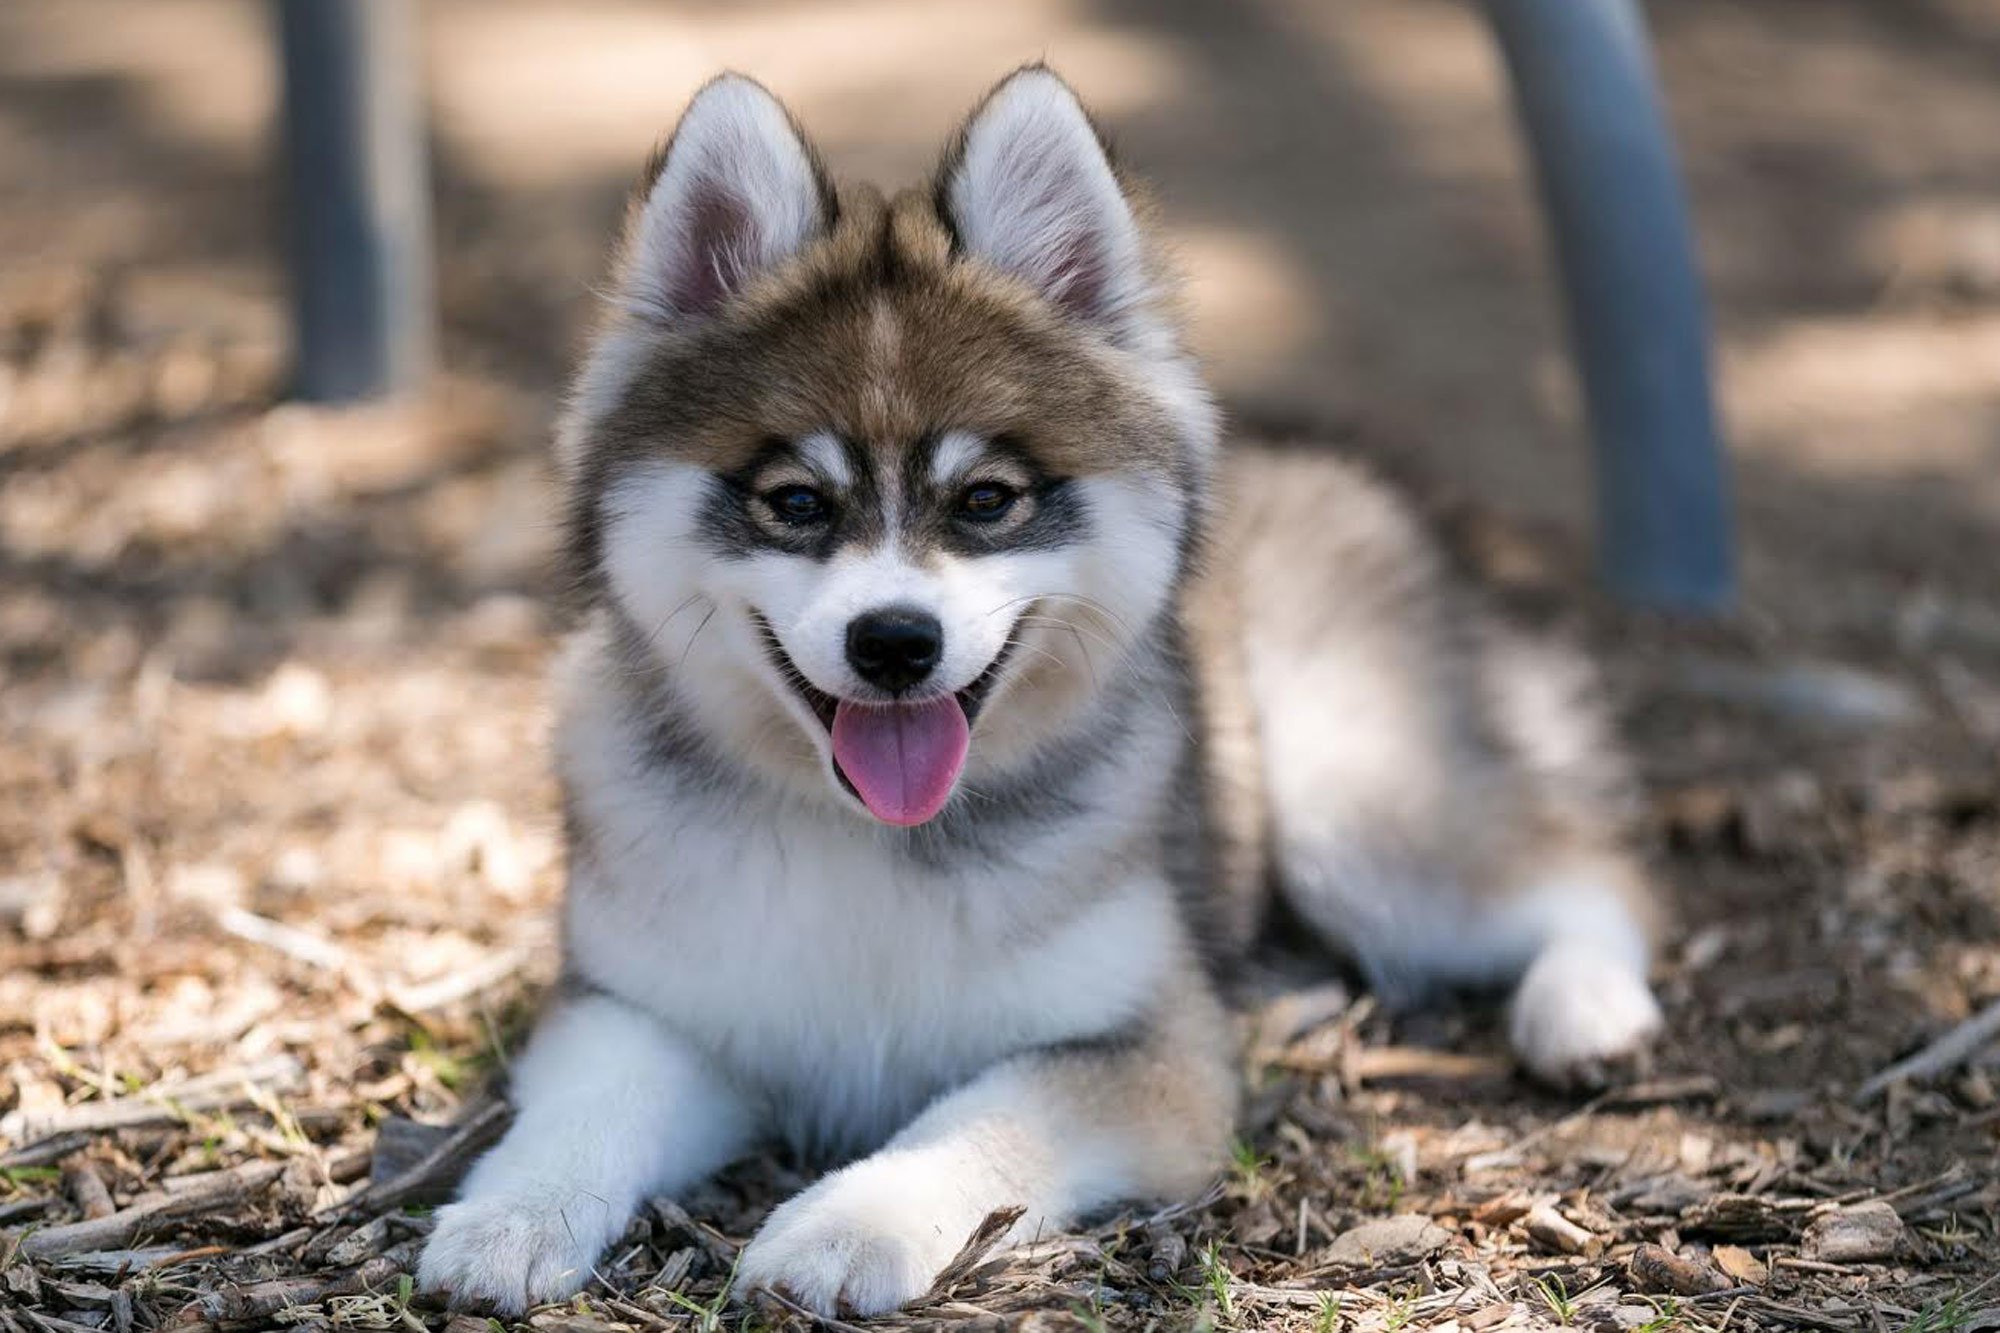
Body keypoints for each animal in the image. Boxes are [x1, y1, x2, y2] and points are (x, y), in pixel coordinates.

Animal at [414, 67, 1664, 1312]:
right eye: (794, 502)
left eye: (986, 499)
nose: (894, 644)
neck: (870, 844)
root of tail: (1348, 465)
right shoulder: (641, 1008)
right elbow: (587, 1103)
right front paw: (509, 1216)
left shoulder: (1144, 1051)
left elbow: (979, 1117)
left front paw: (848, 1223)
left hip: (1351, 793)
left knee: (1583, 871)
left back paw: (1585, 1009)